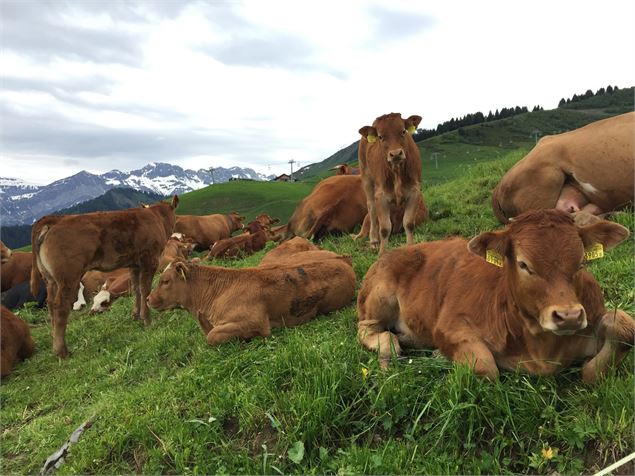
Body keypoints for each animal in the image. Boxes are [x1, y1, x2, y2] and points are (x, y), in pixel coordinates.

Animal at [30, 196, 179, 356]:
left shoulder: (134, 264)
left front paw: (136, 315)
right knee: (60, 307)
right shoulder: (149, 260)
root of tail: (56, 219)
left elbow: (137, 289)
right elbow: (145, 290)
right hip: (68, 277)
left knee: (51, 304)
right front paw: (147, 320)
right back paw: (62, 351)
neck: (156, 217)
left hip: (50, 280)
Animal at [356, 209, 632, 384]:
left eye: (582, 262)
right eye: (523, 264)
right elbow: (486, 367)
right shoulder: (450, 325)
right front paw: (442, 355)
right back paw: (389, 346)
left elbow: (623, 328)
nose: (569, 316)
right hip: (379, 299)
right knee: (367, 329)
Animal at [358, 112, 428, 255]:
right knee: (371, 207)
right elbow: (385, 228)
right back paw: (374, 240)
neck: (397, 171)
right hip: (366, 177)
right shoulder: (381, 196)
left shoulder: (414, 191)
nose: (395, 154)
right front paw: (381, 254)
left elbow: (408, 224)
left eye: (403, 131)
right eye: (380, 137)